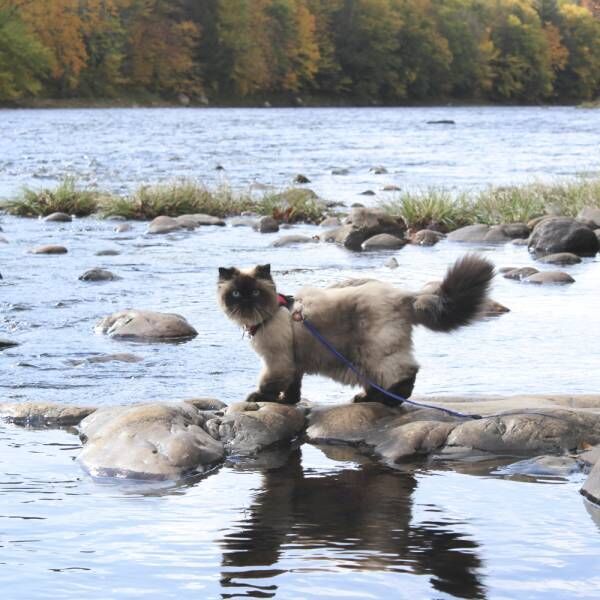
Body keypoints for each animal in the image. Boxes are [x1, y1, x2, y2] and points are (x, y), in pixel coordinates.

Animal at [218, 255, 494, 406]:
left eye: (254, 292)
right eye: (235, 294)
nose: (245, 303)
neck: (271, 314)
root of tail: (403, 295)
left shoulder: (277, 362)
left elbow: (270, 385)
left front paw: (259, 398)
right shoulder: (294, 364)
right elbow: (293, 390)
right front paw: (288, 402)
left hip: (375, 352)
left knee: (405, 373)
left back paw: (390, 402)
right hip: (364, 359)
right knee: (382, 380)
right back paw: (368, 399)